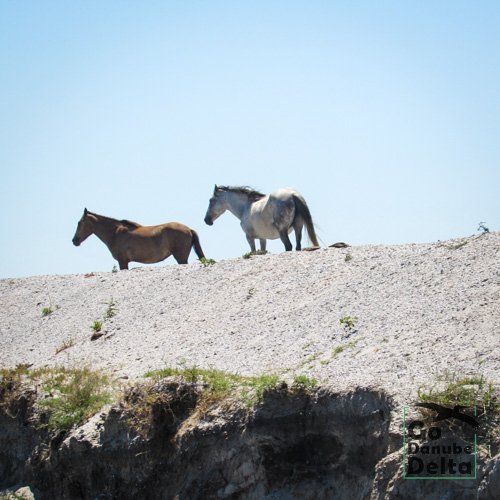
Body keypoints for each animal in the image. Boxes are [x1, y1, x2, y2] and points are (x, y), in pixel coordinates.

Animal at [72, 208, 205, 270]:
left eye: (79, 222)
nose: (74, 240)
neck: (115, 233)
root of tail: (188, 229)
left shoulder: (123, 262)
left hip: (181, 258)